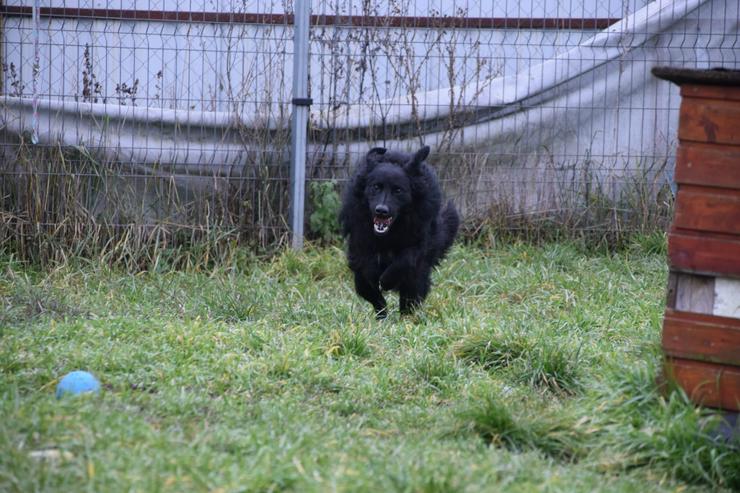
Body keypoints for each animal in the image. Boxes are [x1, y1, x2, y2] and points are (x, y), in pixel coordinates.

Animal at [340, 144, 456, 318]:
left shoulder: (419, 235)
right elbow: (365, 265)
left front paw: (386, 280)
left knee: (410, 296)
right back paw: (382, 316)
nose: (381, 211)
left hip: (417, 277)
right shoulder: (360, 236)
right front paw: (375, 275)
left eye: (398, 190)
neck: (389, 232)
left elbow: (406, 259)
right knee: (372, 295)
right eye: (375, 187)